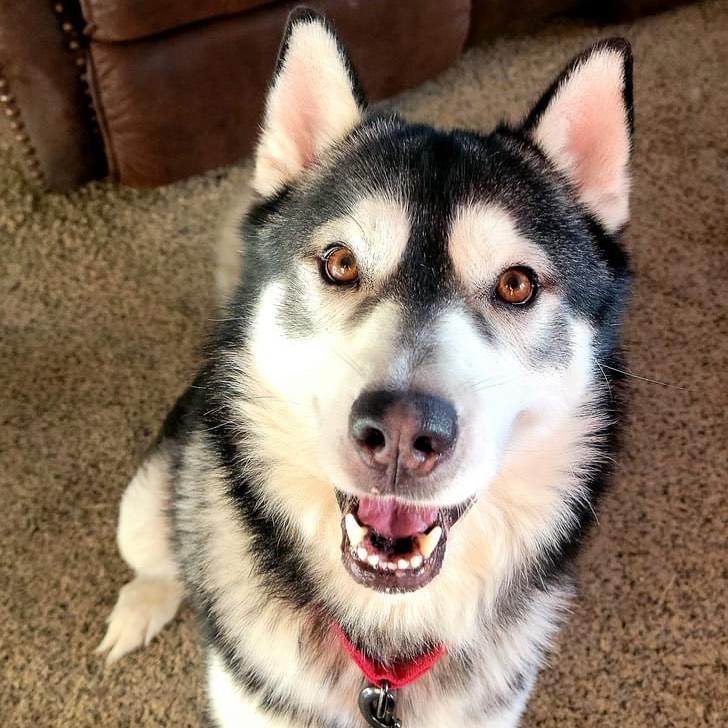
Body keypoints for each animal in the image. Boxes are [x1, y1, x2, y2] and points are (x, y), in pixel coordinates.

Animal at [96, 11, 632, 728]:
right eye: (341, 263)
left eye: (517, 284)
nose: (402, 434)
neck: (385, 648)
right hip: (146, 501)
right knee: (157, 557)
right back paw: (142, 605)